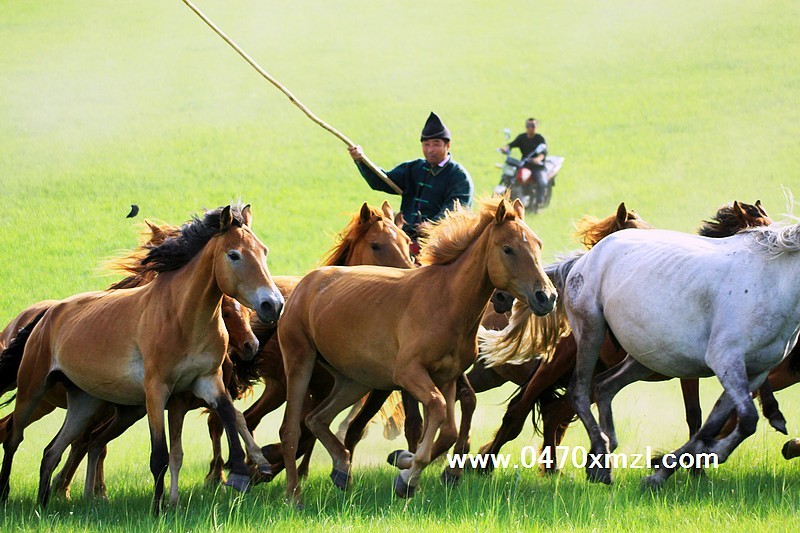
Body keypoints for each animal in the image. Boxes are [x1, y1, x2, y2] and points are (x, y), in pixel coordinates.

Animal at [0, 203, 284, 512]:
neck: (181, 317)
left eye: (264, 251)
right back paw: (8, 495)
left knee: (53, 450)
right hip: (33, 391)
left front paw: (241, 472)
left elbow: (230, 416)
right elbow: (160, 455)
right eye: (234, 255)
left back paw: (43, 504)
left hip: (84, 403)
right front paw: (159, 508)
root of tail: (46, 315)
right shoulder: (157, 391)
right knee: (14, 437)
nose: (273, 305)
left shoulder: (207, 381)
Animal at [278, 197, 560, 504]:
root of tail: (304, 284)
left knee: (317, 419)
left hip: (353, 380)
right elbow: (434, 410)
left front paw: (404, 465)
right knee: (291, 429)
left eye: (538, 244)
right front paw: (408, 476)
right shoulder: (409, 374)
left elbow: (448, 430)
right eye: (508, 248)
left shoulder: (447, 378)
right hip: (300, 361)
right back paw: (294, 495)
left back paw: (342, 467)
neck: (445, 300)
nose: (546, 297)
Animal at [552, 210, 800, 484]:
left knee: (604, 386)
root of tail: (585, 258)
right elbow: (747, 419)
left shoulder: (756, 372)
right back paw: (602, 458)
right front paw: (713, 454)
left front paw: (661, 472)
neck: (774, 284)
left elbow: (710, 425)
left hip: (645, 358)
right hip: (591, 332)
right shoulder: (726, 361)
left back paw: (601, 461)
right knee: (579, 392)